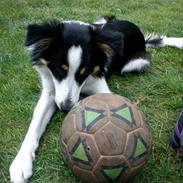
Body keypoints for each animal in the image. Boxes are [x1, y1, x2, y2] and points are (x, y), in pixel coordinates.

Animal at [9, 16, 182, 182]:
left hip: (136, 63)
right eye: (59, 70)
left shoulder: (101, 88)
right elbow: (36, 121)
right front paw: (21, 162)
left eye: (84, 73)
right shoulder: (51, 91)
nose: (65, 108)